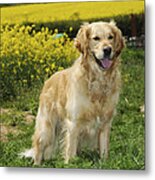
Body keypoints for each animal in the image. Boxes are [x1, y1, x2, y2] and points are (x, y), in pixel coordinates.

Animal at [20, 20, 124, 165]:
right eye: (96, 38)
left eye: (111, 37)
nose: (108, 50)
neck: (97, 81)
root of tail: (49, 79)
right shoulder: (73, 123)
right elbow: (70, 153)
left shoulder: (105, 123)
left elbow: (103, 151)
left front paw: (105, 162)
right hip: (46, 126)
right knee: (39, 146)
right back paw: (37, 164)